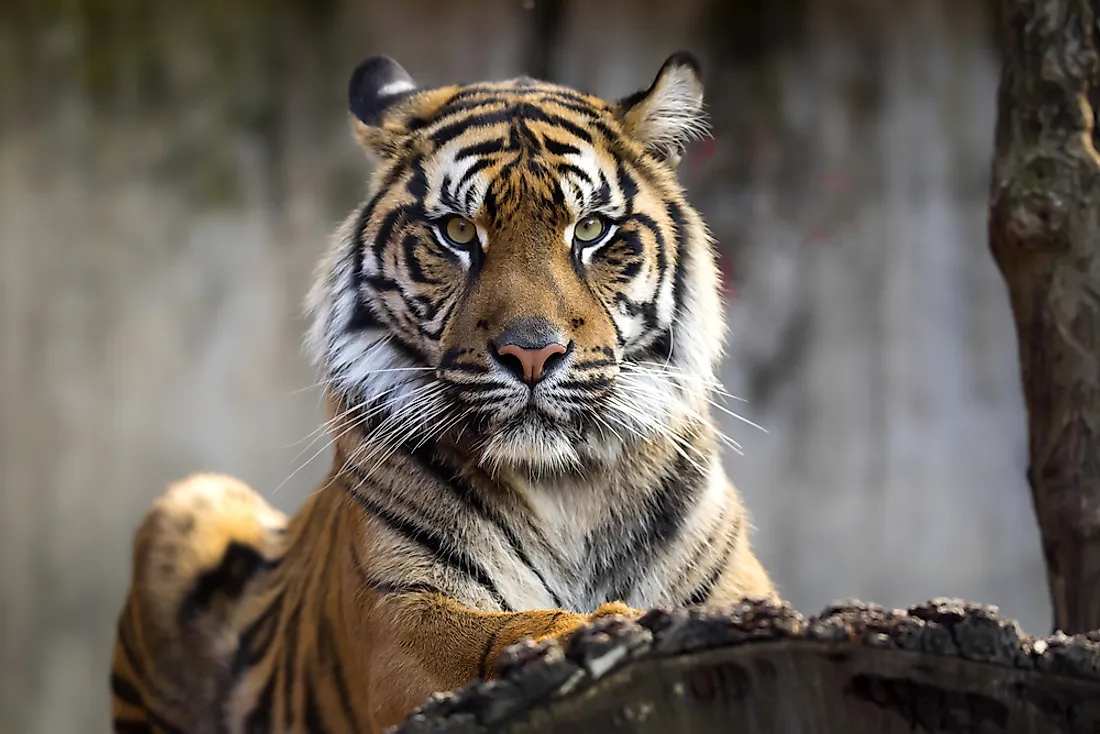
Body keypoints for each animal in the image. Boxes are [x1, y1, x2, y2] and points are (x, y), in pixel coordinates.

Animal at [105, 51, 774, 734]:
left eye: (590, 229)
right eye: (457, 231)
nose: (532, 353)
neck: (568, 492)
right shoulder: (395, 622)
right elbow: (507, 633)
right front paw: (605, 628)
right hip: (191, 501)